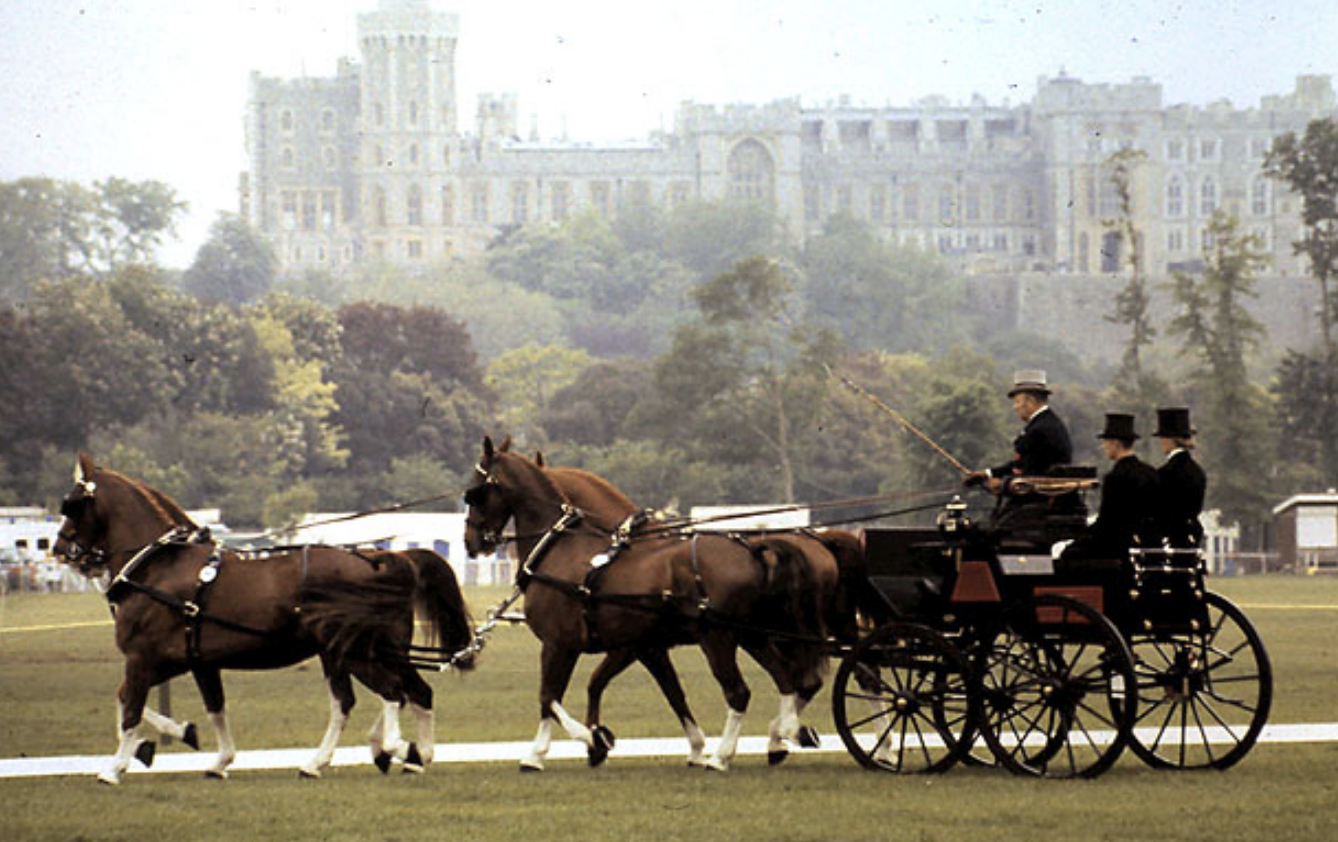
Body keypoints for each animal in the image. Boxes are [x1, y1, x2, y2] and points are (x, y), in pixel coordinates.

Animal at [52, 453, 473, 784]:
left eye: (71, 503)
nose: (59, 548)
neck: (159, 568)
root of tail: (381, 558)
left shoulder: (143, 658)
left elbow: (131, 708)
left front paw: (116, 766)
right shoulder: (192, 661)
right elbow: (202, 707)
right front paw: (200, 748)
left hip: (356, 651)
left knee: (392, 693)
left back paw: (393, 747)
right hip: (361, 652)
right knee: (394, 695)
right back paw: (386, 757)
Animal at [463, 436, 835, 771]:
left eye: (474, 490)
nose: (471, 542)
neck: (561, 548)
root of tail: (756, 549)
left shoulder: (560, 644)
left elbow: (548, 697)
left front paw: (562, 746)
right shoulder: (644, 646)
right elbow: (669, 692)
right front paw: (691, 747)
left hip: (718, 638)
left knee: (740, 692)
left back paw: (724, 756)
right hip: (750, 635)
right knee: (788, 680)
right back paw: (782, 734)